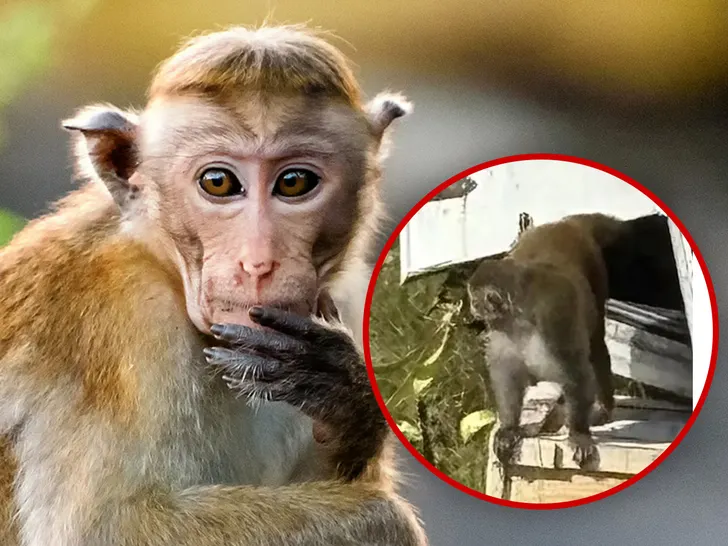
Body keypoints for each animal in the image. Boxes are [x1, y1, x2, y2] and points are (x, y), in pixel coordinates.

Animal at [0, 25, 427, 546]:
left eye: (295, 182)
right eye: (219, 183)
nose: (259, 262)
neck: (162, 260)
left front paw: (350, 401)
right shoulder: (126, 319)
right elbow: (103, 525)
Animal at [467, 213, 628, 470]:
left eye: (474, 300)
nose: (472, 308)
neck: (519, 318)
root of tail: (564, 224)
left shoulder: (554, 318)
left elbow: (575, 372)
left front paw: (579, 433)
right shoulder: (502, 331)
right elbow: (508, 376)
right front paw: (509, 428)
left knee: (595, 346)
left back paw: (603, 407)